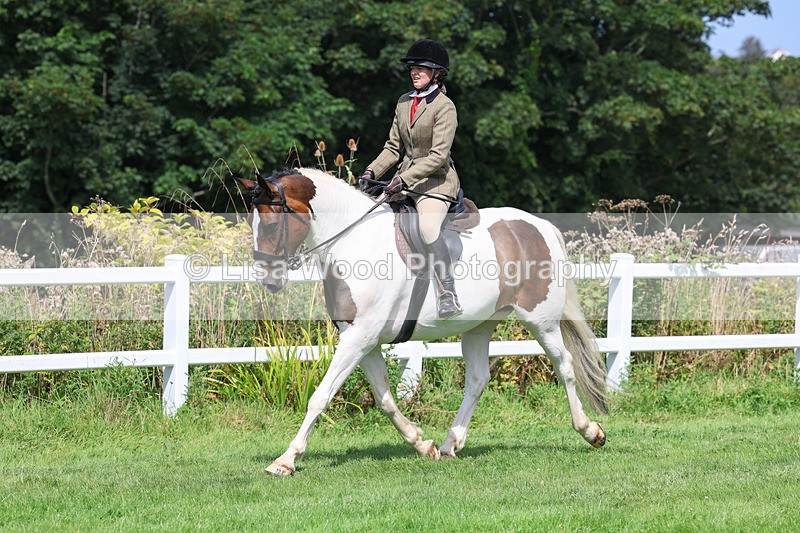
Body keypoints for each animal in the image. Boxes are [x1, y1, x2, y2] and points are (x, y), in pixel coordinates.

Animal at [236, 167, 607, 476]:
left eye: (271, 224)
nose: (267, 281)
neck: (354, 242)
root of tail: (539, 225)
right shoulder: (364, 340)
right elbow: (385, 399)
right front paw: (421, 442)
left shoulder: (359, 338)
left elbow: (321, 396)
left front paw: (286, 460)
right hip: (479, 326)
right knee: (477, 379)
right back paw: (449, 444)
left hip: (542, 321)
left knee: (565, 366)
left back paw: (590, 431)